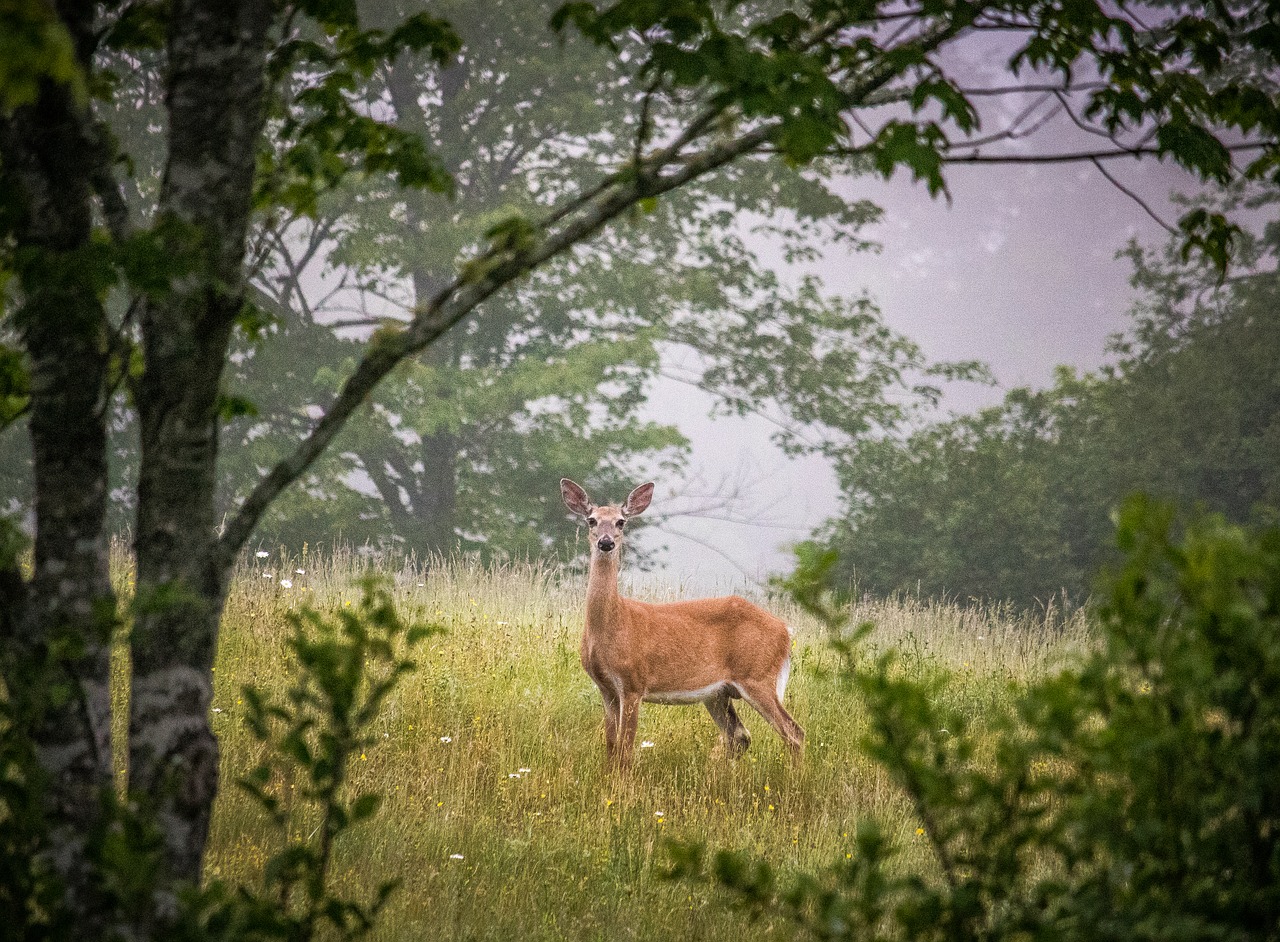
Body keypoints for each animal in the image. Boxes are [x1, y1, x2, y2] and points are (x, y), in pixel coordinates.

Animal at [558, 473, 798, 767]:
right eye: (591, 520)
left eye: (621, 521)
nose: (606, 542)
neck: (614, 624)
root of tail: (785, 630)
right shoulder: (606, 688)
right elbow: (612, 747)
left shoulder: (634, 683)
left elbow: (626, 749)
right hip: (718, 692)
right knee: (740, 735)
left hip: (757, 675)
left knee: (793, 732)